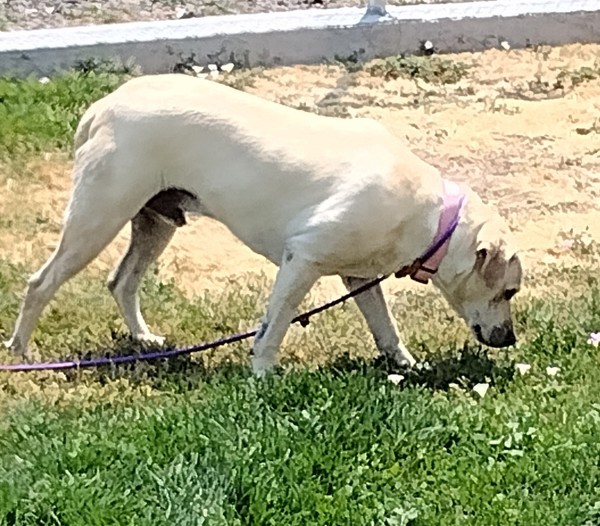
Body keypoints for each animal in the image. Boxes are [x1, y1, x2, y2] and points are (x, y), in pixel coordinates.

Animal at [3, 74, 520, 376]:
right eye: (509, 291)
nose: (510, 339)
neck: (434, 218)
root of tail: (104, 105)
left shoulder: (358, 276)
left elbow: (385, 327)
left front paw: (407, 365)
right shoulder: (302, 260)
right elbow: (276, 325)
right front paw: (263, 375)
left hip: (155, 223)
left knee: (122, 281)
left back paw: (144, 339)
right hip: (96, 219)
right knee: (40, 283)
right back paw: (22, 352)